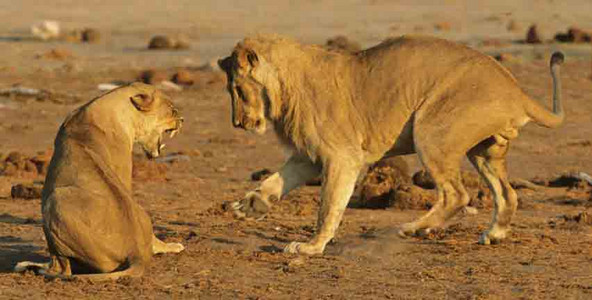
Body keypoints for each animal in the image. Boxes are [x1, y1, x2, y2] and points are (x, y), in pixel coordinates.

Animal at [217, 35, 564, 255]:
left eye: (238, 90)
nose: (238, 123)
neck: (285, 85)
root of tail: (517, 89)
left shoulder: (341, 157)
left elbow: (328, 207)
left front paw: (311, 247)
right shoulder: (308, 157)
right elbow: (275, 181)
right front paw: (250, 205)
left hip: (431, 130)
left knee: (456, 194)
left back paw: (410, 228)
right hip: (483, 151)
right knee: (507, 194)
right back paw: (493, 234)